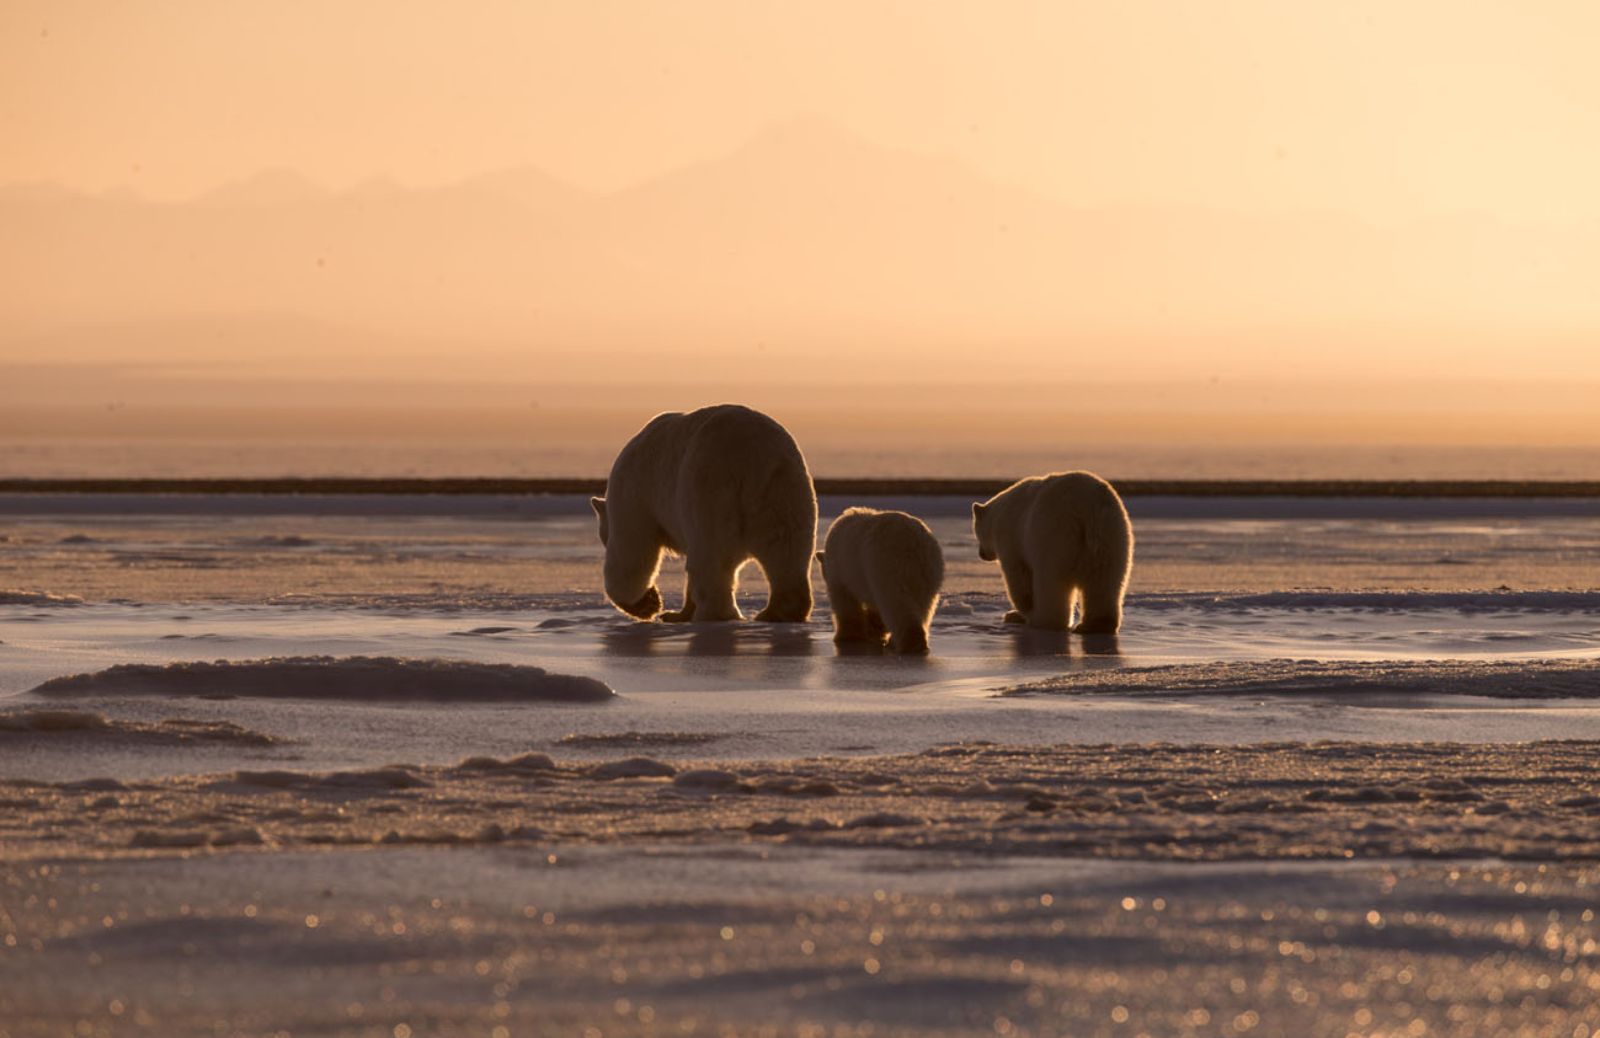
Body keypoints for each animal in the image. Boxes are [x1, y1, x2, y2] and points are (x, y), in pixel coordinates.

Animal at [592, 401, 819, 620]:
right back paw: (776, 612)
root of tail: (752, 459)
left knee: (710, 557)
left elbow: (632, 549)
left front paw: (649, 604)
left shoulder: (633, 492)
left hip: (707, 488)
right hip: (784, 489)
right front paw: (673, 612)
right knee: (786, 549)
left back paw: (714, 613)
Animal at [966, 470, 1132, 630]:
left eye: (976, 533)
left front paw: (1017, 614)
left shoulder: (1011, 539)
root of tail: (1089, 511)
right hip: (1112, 536)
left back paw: (1043, 620)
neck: (1000, 513)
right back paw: (1095, 624)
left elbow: (1018, 577)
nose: (981, 554)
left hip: (1054, 537)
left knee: (1051, 582)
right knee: (1105, 581)